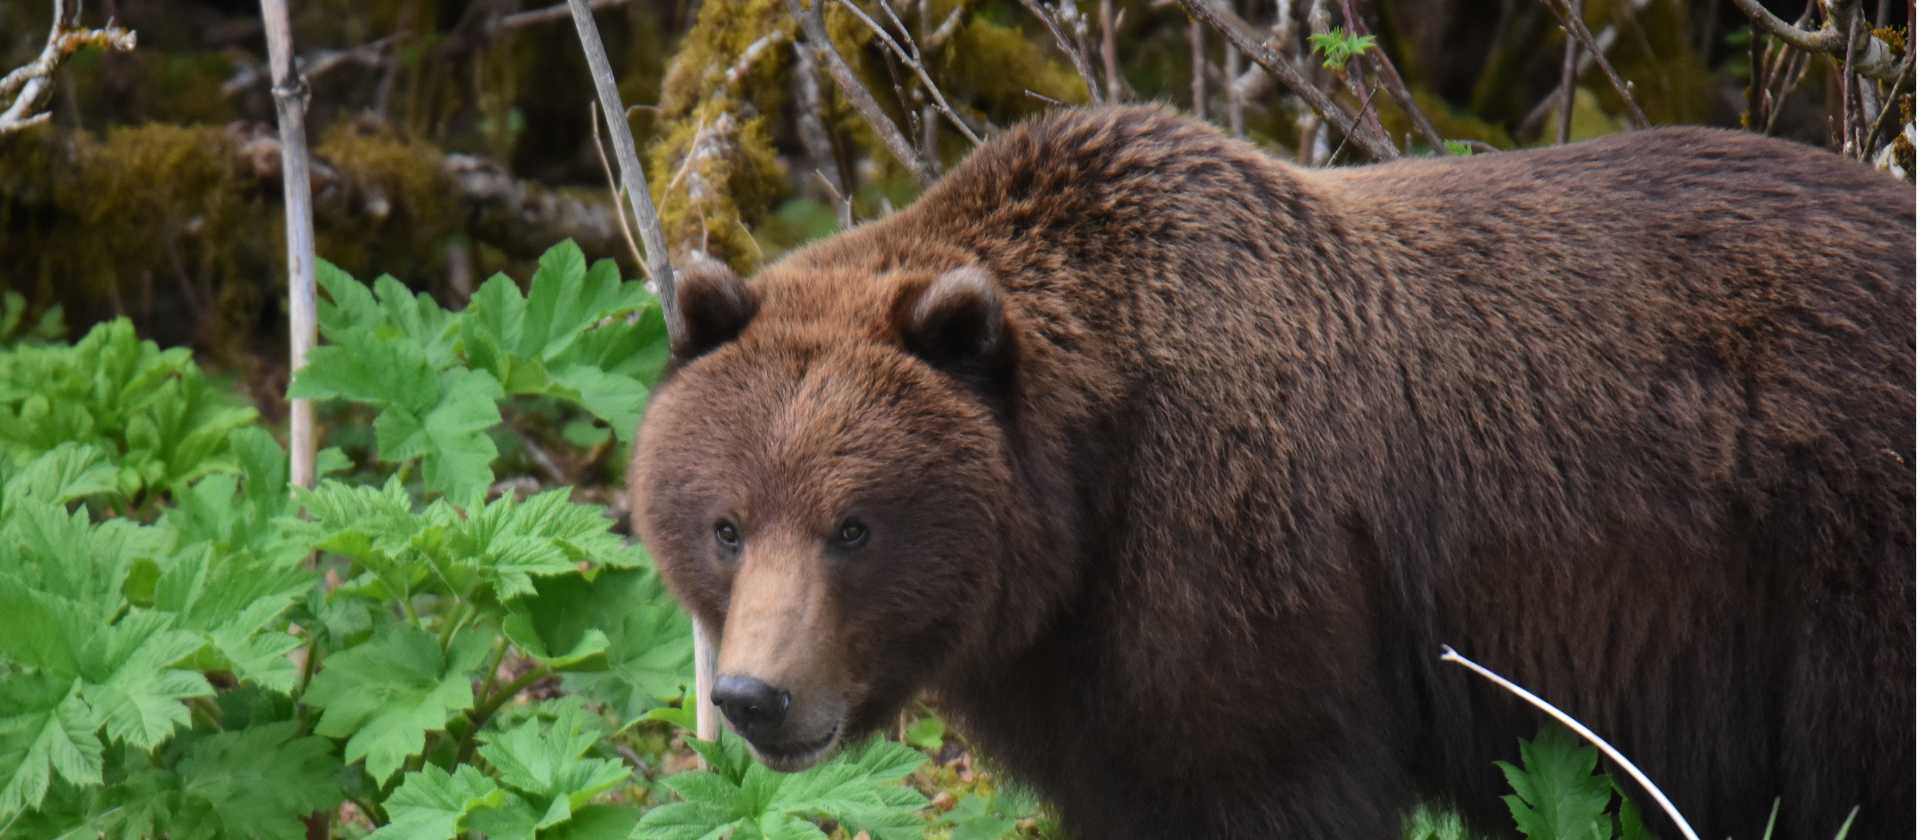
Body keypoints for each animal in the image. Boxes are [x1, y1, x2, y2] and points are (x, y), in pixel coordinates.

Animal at [628, 104, 1915, 840]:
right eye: (726, 525)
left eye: (855, 526)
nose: (753, 696)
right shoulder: (1093, 681)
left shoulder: (1250, 582)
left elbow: (1267, 782)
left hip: (1833, 552)